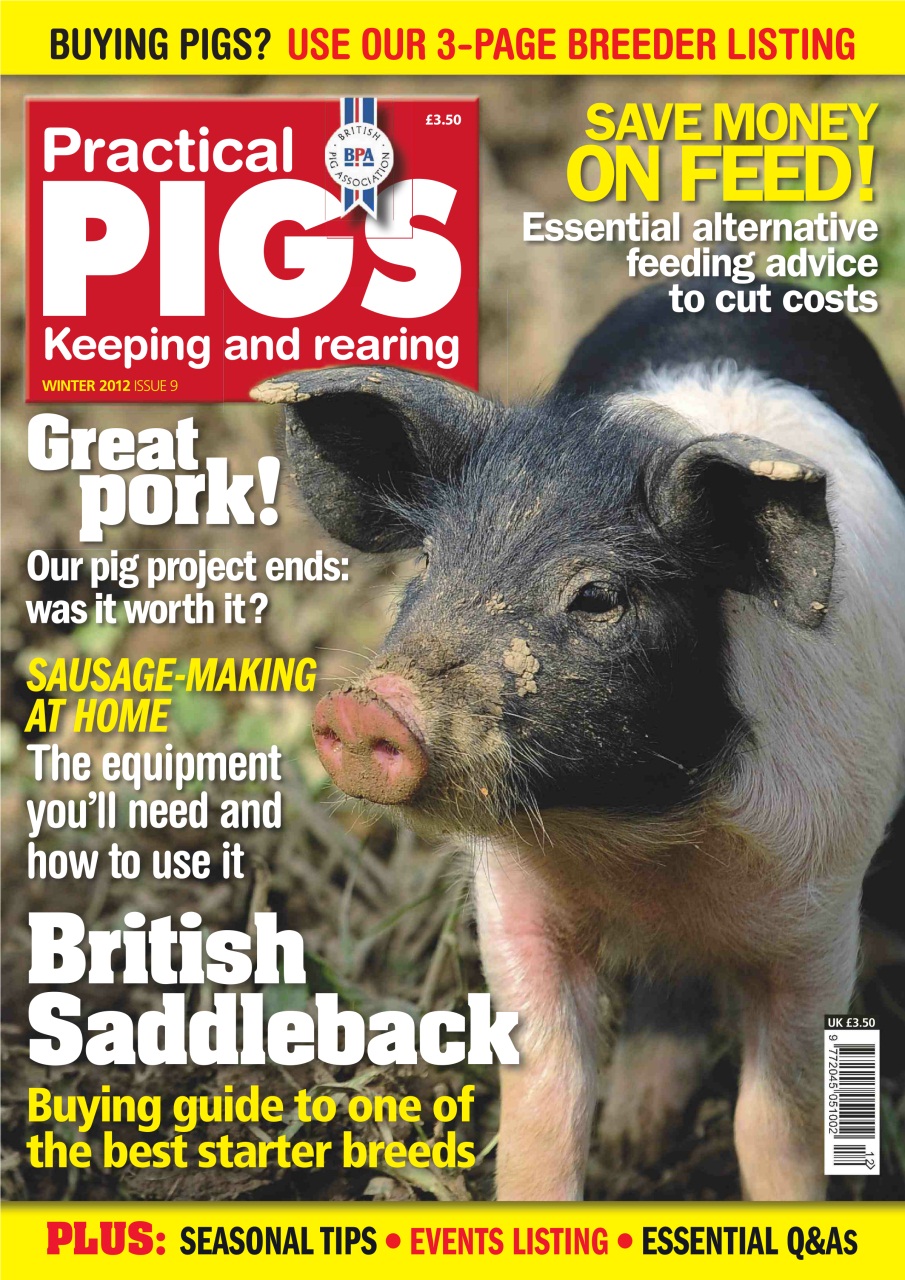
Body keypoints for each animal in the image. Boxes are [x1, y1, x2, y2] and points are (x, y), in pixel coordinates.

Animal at [252, 280, 905, 1201]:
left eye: (598, 597)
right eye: (430, 562)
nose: (368, 706)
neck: (641, 836)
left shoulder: (818, 904)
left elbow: (775, 1123)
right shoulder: (511, 899)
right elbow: (546, 1102)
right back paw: (635, 1134)